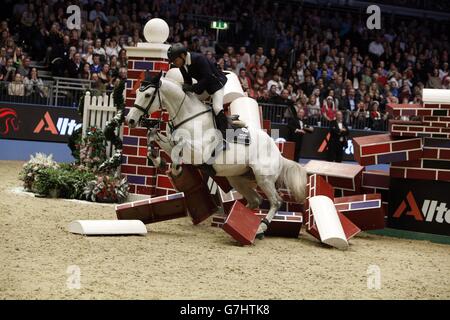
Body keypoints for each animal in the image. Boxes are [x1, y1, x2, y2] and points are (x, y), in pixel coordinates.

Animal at [127, 71, 310, 239]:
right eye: (137, 93)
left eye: (147, 95)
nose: (130, 120)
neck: (188, 117)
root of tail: (278, 154)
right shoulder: (171, 142)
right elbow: (154, 136)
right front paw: (157, 159)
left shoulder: (200, 152)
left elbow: (179, 145)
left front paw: (175, 169)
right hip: (238, 179)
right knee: (255, 200)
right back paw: (236, 222)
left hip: (263, 178)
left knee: (276, 202)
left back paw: (259, 228)